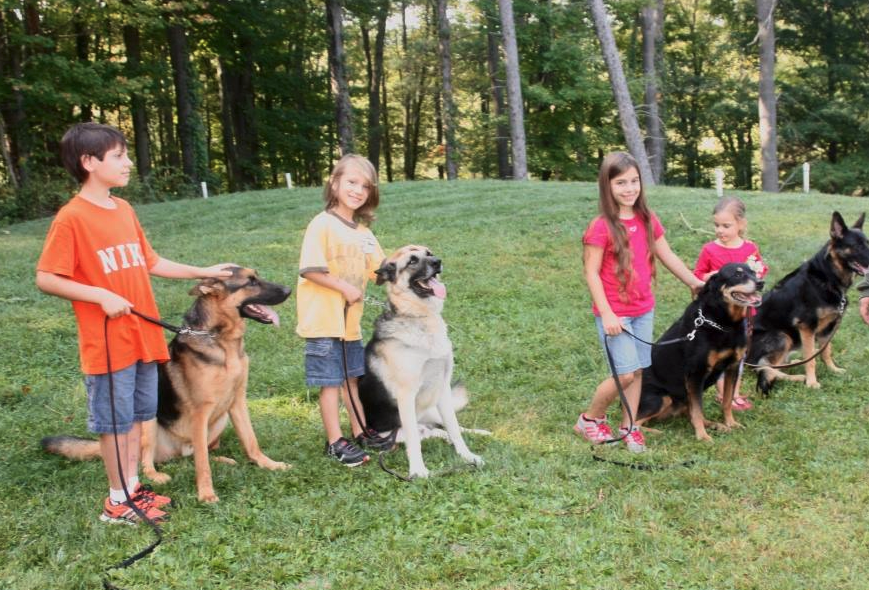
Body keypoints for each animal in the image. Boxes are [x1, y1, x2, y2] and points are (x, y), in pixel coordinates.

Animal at [42, 268, 292, 504]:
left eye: (256, 276)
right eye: (250, 281)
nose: (289, 289)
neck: (221, 340)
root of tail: (177, 450)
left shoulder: (238, 401)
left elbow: (251, 441)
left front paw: (269, 464)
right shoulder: (201, 411)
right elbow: (203, 464)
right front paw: (206, 494)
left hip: (220, 420)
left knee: (197, 454)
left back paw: (222, 459)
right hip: (149, 421)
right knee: (151, 461)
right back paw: (156, 476)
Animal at [356, 246, 484, 480]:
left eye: (429, 253)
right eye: (412, 261)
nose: (438, 261)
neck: (420, 318)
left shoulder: (442, 387)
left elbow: (454, 426)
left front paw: (467, 456)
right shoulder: (407, 395)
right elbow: (415, 442)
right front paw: (418, 470)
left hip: (432, 408)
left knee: (451, 428)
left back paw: (480, 433)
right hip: (408, 429)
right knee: (433, 432)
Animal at [636, 262, 764, 440]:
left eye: (753, 272)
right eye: (737, 275)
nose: (761, 283)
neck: (725, 323)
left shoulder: (732, 367)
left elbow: (726, 401)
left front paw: (730, 423)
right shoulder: (696, 373)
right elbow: (698, 410)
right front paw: (702, 437)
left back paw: (716, 425)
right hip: (661, 398)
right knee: (632, 423)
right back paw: (655, 432)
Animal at [744, 210, 868, 396]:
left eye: (867, 243)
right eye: (857, 246)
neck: (827, 277)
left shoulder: (827, 328)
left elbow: (826, 352)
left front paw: (833, 369)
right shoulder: (807, 327)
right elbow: (811, 360)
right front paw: (812, 382)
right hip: (782, 336)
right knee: (764, 368)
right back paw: (799, 377)